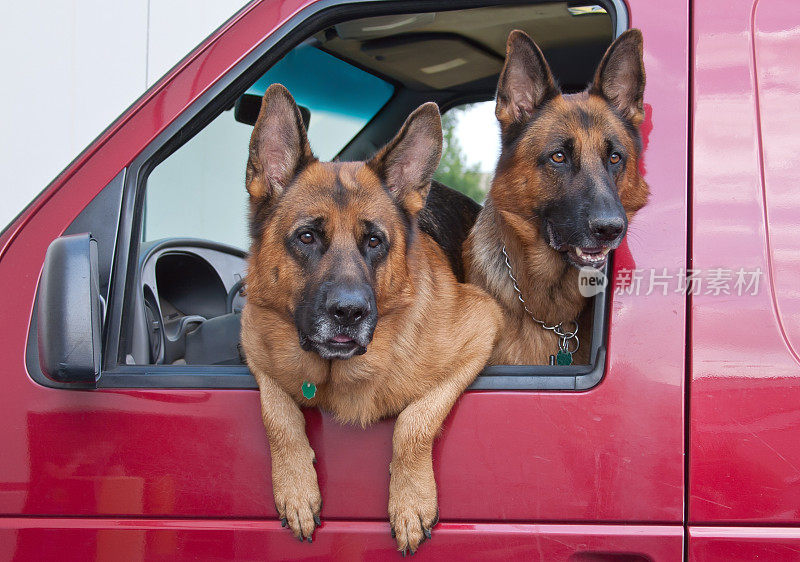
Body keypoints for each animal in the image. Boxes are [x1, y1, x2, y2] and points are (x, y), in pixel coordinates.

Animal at [239, 83, 500, 552]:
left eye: (374, 241)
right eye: (307, 236)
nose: (349, 313)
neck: (333, 375)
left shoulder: (483, 324)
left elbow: (414, 421)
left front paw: (410, 500)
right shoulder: (252, 338)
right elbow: (277, 412)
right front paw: (296, 488)